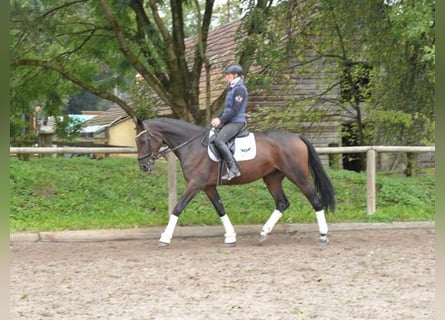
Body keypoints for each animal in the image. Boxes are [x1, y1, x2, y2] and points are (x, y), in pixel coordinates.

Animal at [134, 116, 334, 246]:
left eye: (143, 140)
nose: (143, 166)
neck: (191, 145)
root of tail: (297, 137)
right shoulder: (208, 187)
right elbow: (220, 209)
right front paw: (230, 236)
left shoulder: (195, 185)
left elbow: (177, 208)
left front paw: (164, 237)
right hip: (272, 178)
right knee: (282, 203)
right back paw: (263, 233)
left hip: (298, 176)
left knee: (315, 201)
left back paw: (323, 235)